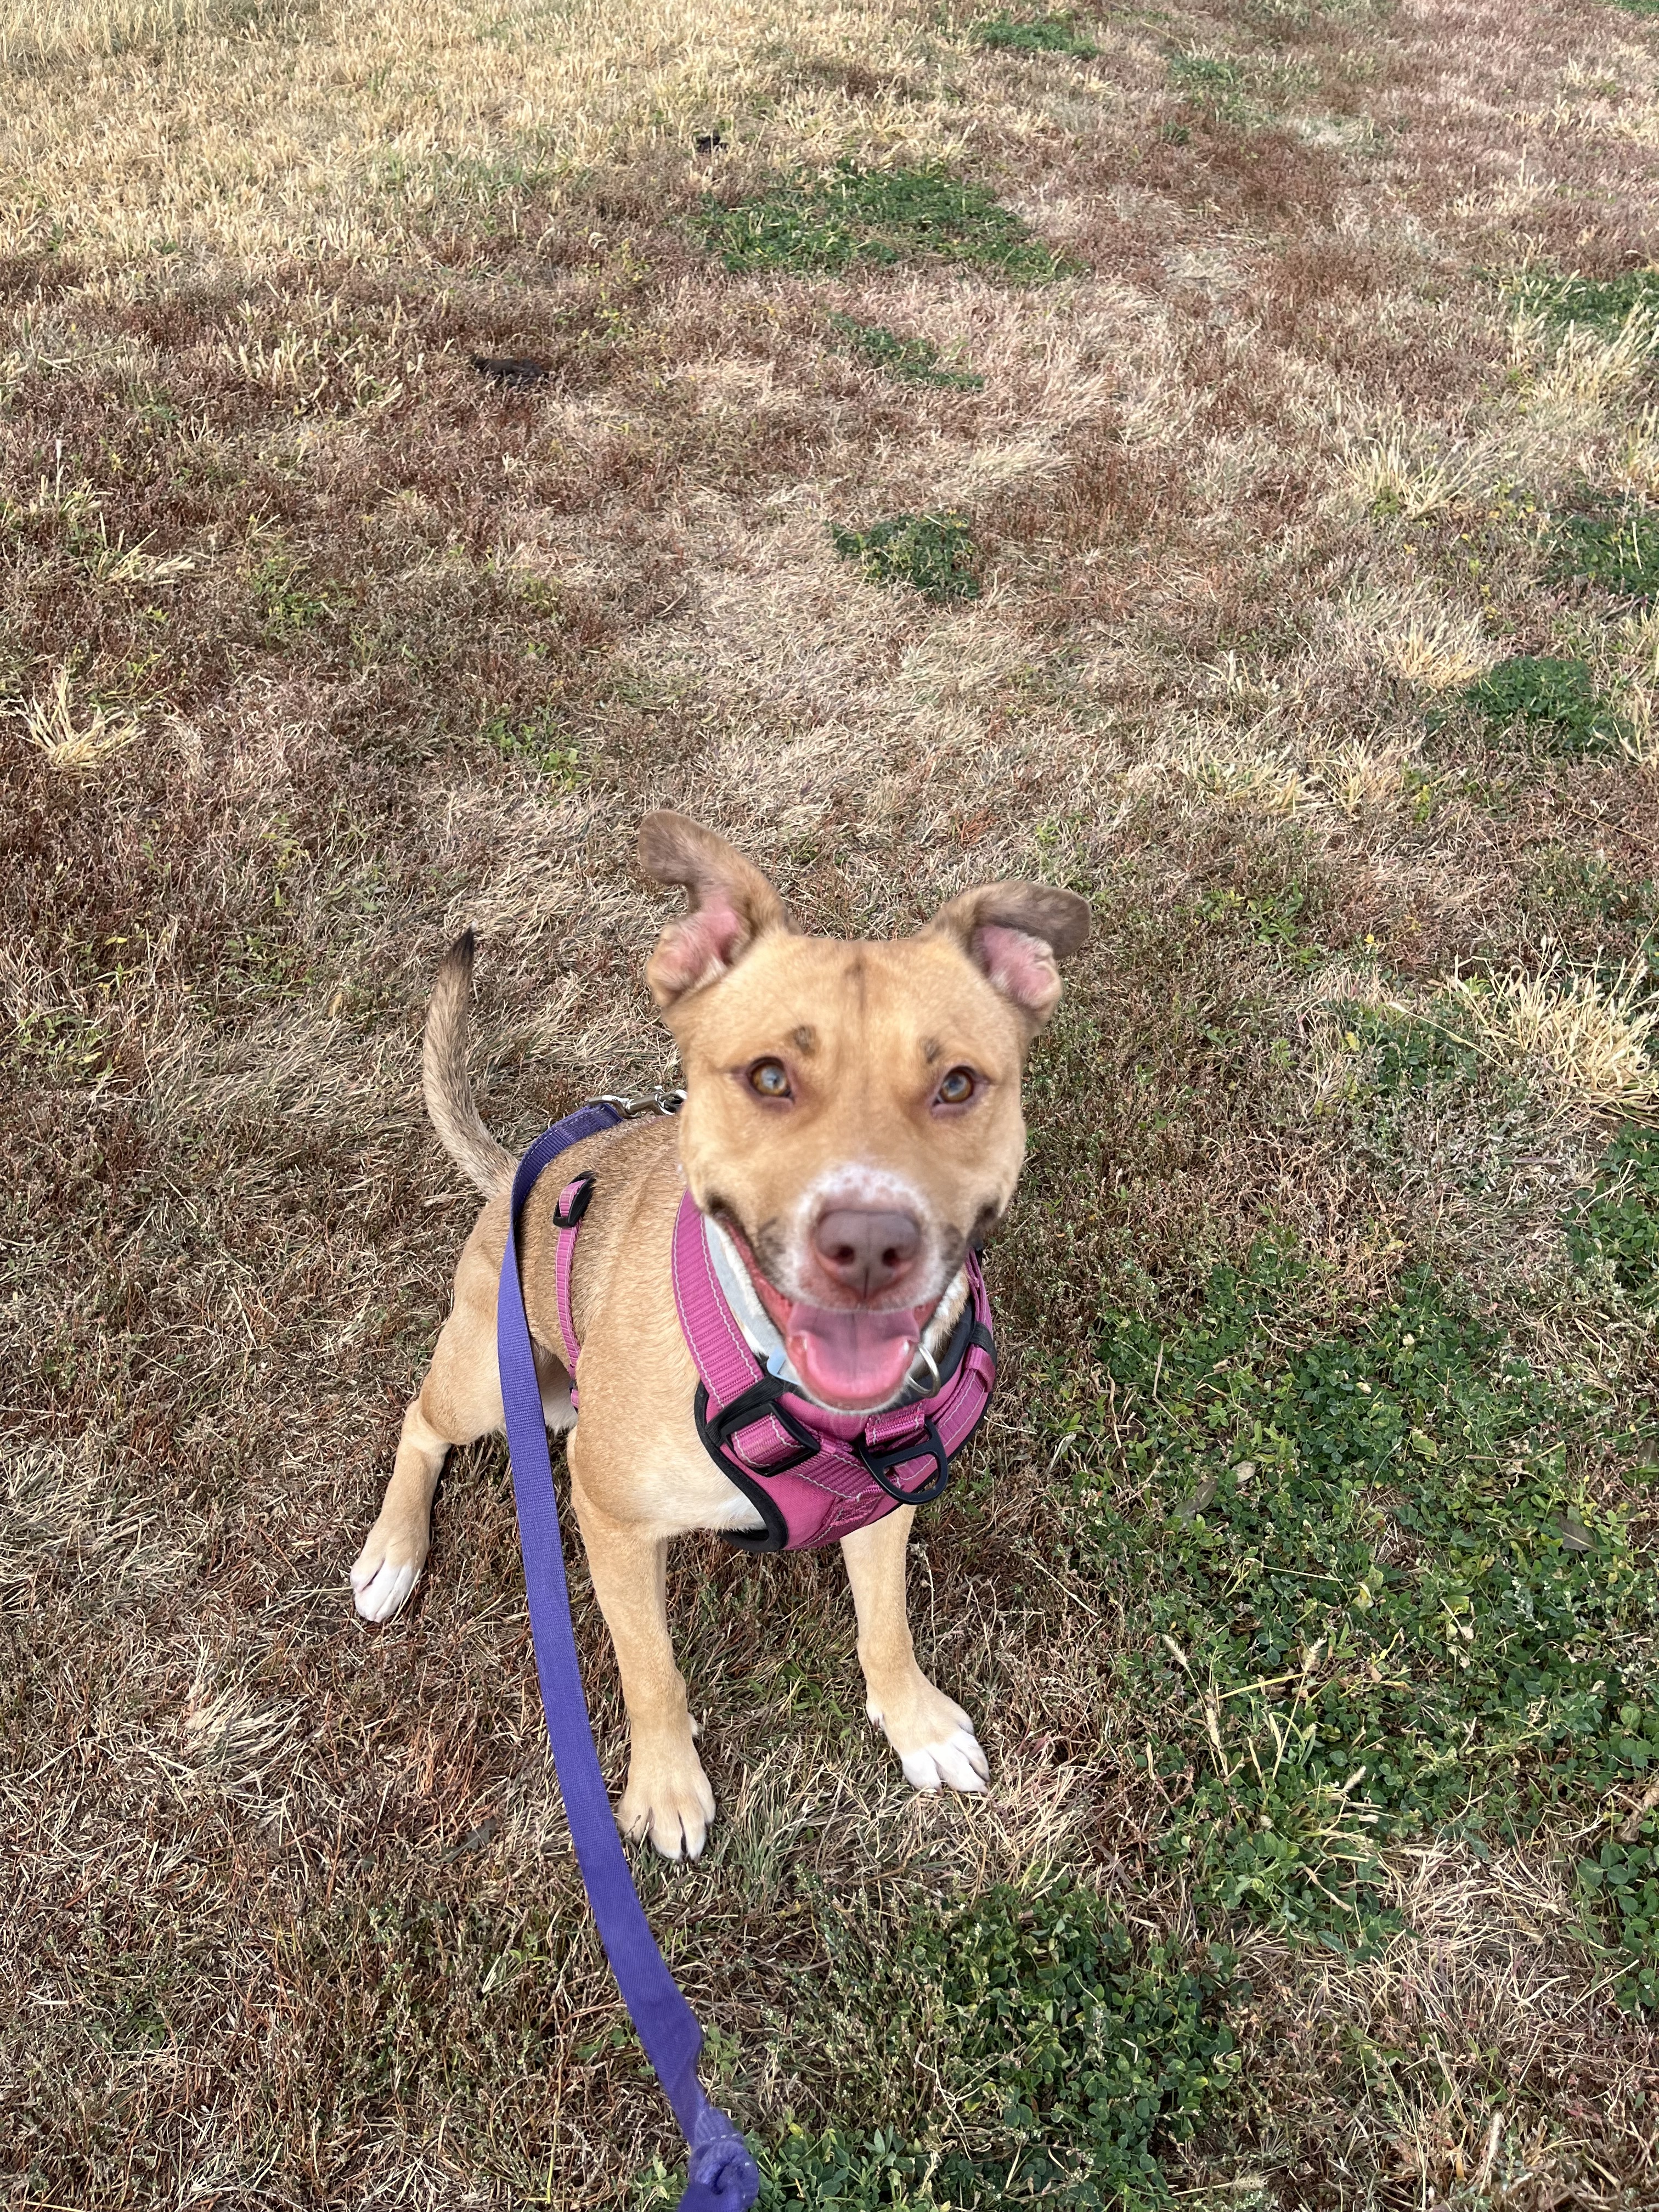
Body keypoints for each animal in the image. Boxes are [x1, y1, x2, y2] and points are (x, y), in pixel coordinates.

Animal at [352, 814, 1092, 1849]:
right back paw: (394, 1550)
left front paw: (913, 1721)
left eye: (956, 1084)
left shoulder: (886, 1503)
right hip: (485, 1375)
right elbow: (650, 1670)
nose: (869, 1245)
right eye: (770, 1077)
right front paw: (665, 1787)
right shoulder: (611, 1522)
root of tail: (515, 1173)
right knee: (420, 1421)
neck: (776, 1383)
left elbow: (886, 1625)